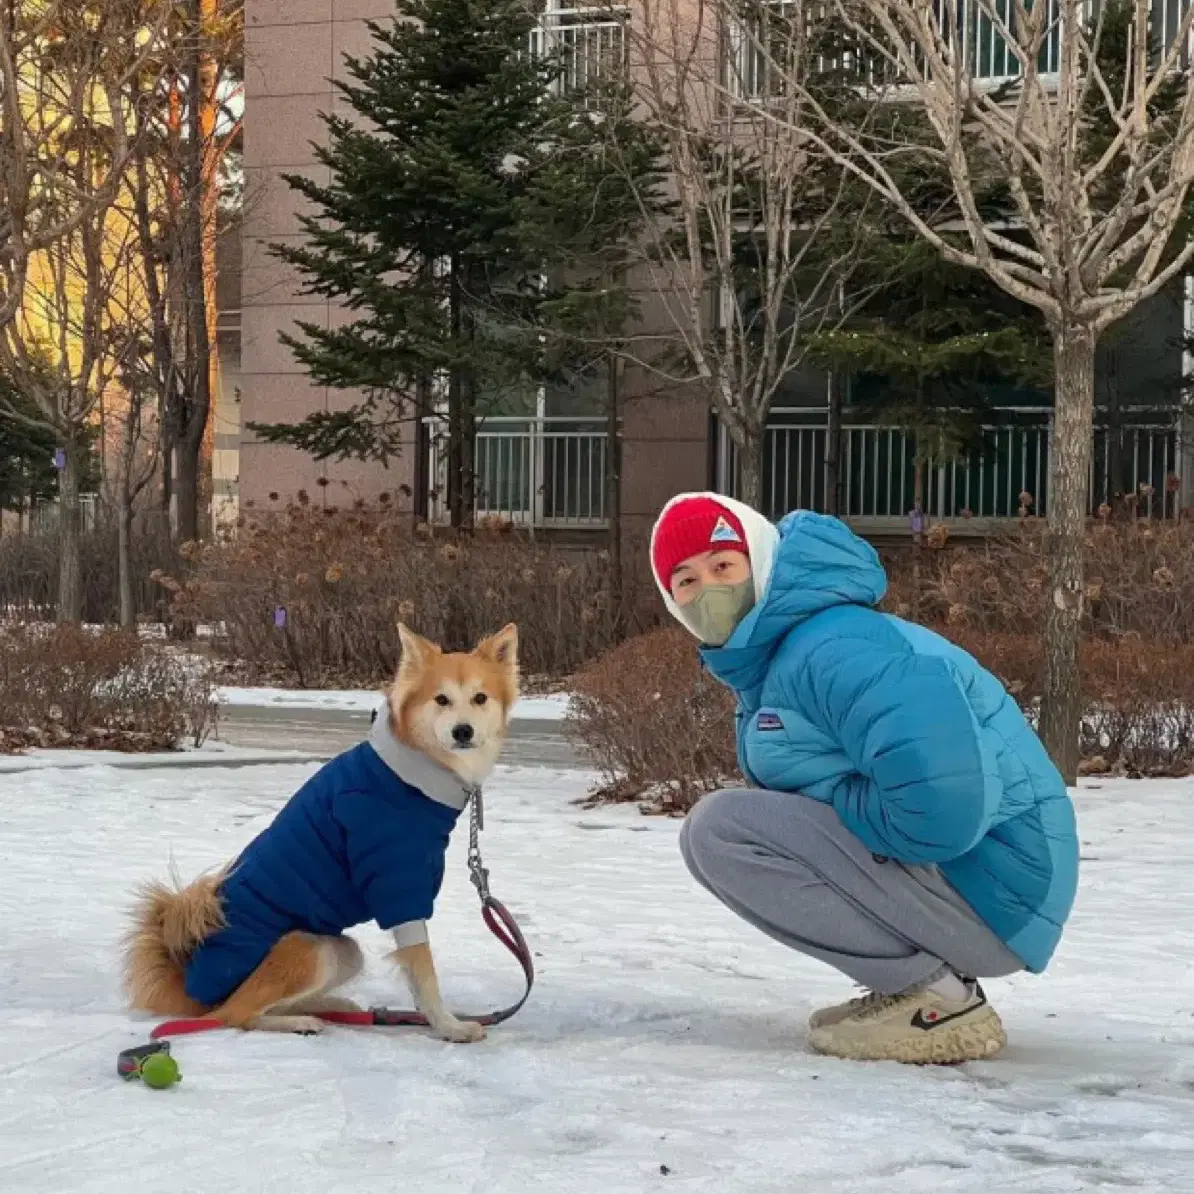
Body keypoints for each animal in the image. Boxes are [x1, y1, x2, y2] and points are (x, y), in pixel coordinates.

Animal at [122, 625, 522, 1045]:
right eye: (441, 699)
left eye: (480, 698)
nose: (463, 731)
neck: (411, 771)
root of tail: (189, 988)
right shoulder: (398, 889)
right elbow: (423, 972)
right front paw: (448, 1026)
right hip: (308, 949)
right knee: (237, 1014)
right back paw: (299, 1022)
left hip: (341, 950)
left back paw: (329, 1007)